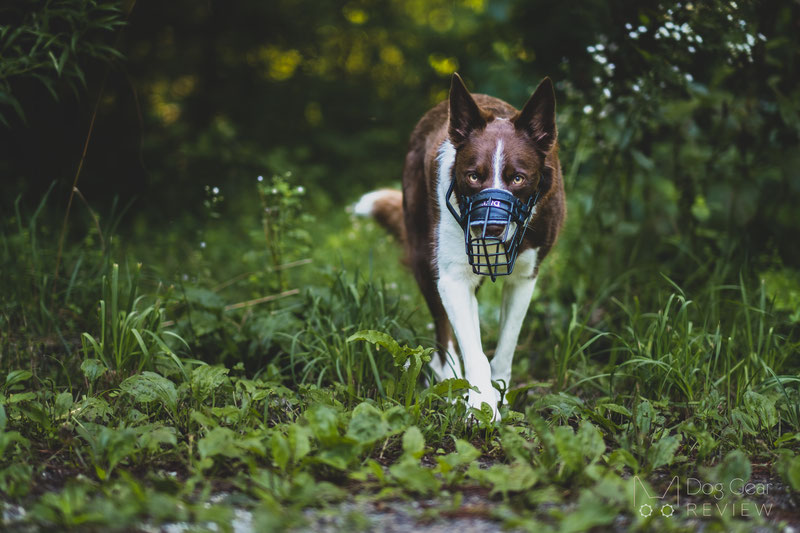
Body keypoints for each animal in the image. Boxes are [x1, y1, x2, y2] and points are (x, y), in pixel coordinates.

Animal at [354, 72, 564, 420]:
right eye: (473, 176)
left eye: (518, 179)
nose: (488, 227)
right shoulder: (452, 278)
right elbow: (474, 350)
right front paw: (481, 408)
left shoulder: (525, 278)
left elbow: (506, 346)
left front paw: (499, 396)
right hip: (424, 256)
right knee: (444, 329)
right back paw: (449, 382)